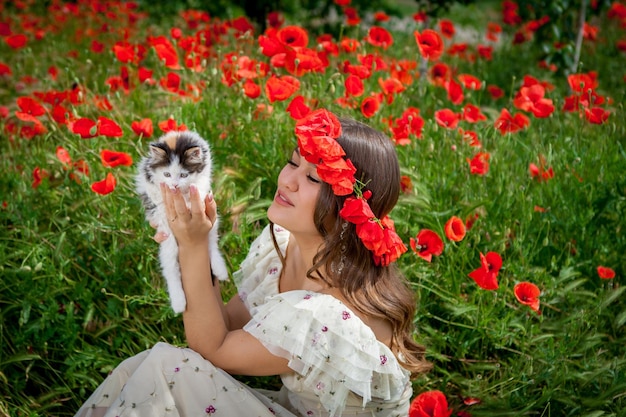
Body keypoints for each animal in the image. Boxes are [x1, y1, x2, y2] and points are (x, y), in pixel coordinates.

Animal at [135, 130, 228, 312]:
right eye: (167, 174)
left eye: (184, 175)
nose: (175, 185)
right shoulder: (149, 182)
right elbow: (157, 197)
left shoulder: (203, 177)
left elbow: (198, 187)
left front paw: (190, 202)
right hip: (169, 243)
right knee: (171, 269)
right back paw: (178, 302)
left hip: (212, 225)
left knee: (211, 244)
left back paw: (220, 269)